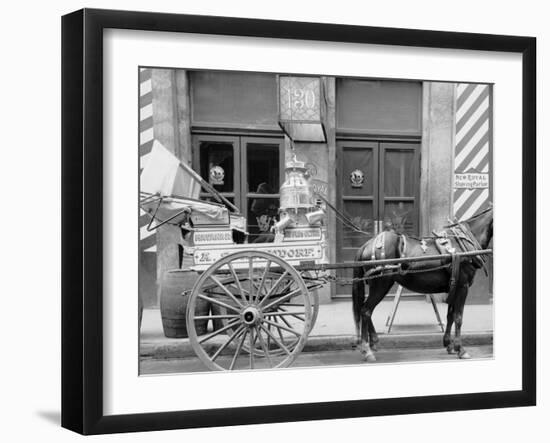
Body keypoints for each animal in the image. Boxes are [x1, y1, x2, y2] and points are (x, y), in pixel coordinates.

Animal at [354, 206, 496, 362]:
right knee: (366, 310)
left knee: (365, 310)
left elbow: (450, 316)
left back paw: (373, 342)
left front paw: (449, 345)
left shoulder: (454, 287)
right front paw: (461, 349)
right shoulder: (462, 286)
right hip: (381, 284)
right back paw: (367, 349)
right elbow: (458, 317)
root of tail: (367, 245)